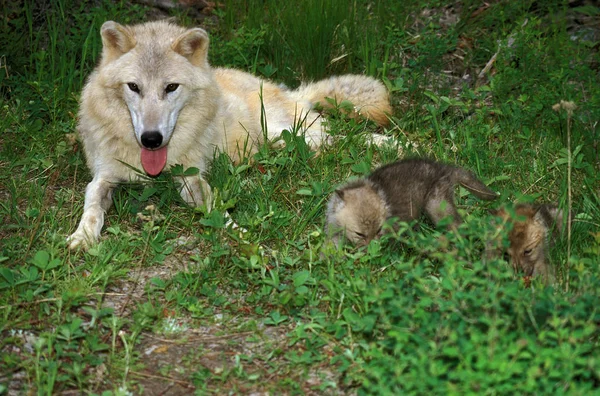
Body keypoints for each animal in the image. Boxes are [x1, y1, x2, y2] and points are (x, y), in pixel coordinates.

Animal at [67, 20, 394, 249]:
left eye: (171, 87)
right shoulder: (103, 178)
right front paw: (82, 236)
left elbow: (218, 210)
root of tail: (292, 91)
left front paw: (243, 236)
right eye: (134, 87)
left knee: (344, 137)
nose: (151, 139)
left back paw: (395, 143)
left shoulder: (191, 177)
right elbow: (92, 206)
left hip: (287, 134)